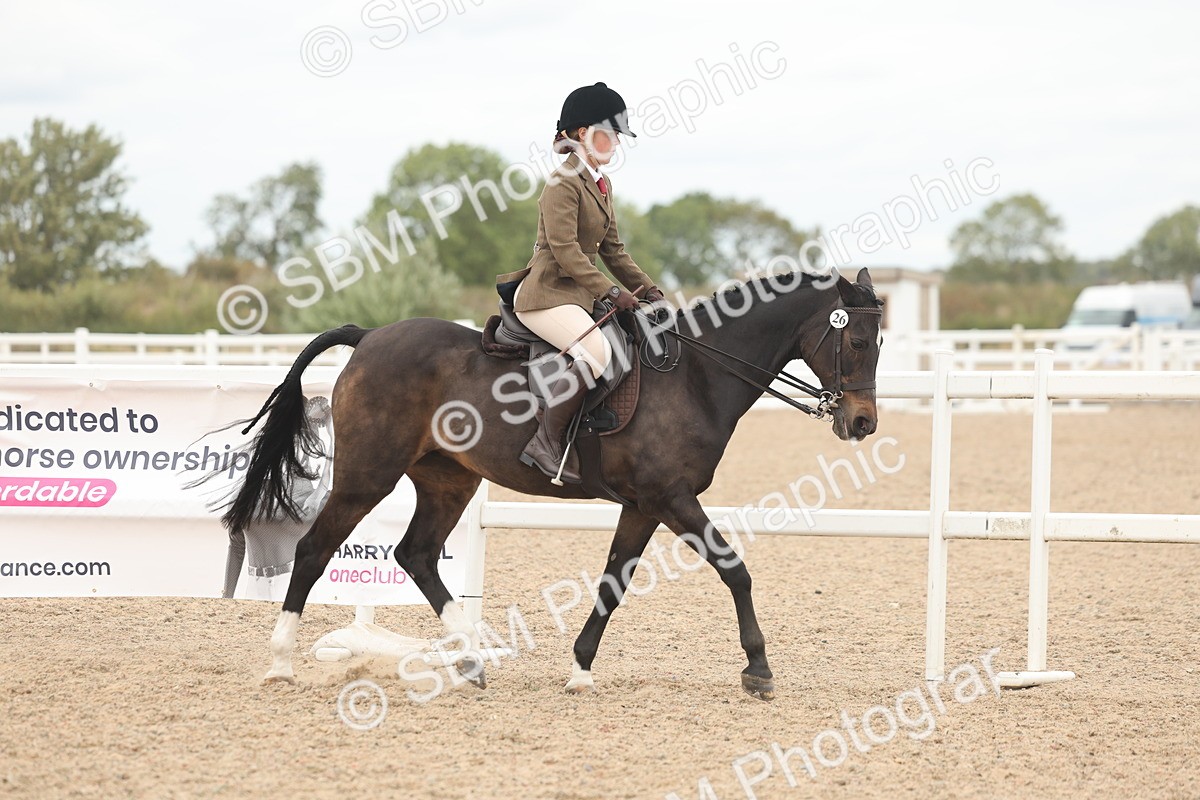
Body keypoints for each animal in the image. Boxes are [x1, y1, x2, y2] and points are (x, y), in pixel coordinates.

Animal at [220, 267, 883, 701]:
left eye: (879, 341)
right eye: (855, 340)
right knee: (314, 550)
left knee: (417, 554)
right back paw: (280, 664)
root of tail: (368, 337)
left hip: (447, 480)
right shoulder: (671, 498)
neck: (696, 374)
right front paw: (758, 669)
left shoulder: (644, 505)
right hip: (368, 476)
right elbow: (734, 568)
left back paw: (470, 661)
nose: (862, 423)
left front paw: (581, 669)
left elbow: (614, 582)